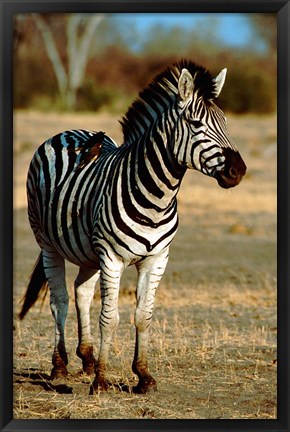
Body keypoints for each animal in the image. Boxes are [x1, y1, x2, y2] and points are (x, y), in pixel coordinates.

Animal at [19, 60, 247, 394]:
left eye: (226, 123)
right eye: (195, 124)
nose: (238, 171)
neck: (157, 197)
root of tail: (68, 131)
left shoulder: (157, 259)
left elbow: (143, 316)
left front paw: (143, 375)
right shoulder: (112, 258)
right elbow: (110, 318)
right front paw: (102, 381)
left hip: (88, 251)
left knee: (81, 291)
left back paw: (86, 358)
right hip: (48, 243)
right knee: (59, 300)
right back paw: (60, 367)